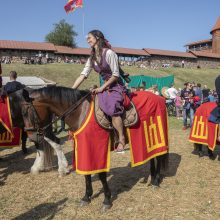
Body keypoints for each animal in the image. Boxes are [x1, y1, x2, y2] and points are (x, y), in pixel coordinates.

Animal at [21, 85, 168, 210]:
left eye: (26, 112)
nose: (32, 137)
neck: (81, 112)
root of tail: (160, 98)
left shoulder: (97, 147)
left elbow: (101, 175)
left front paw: (107, 200)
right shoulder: (84, 147)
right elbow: (87, 175)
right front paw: (87, 197)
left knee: (160, 156)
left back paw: (156, 181)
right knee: (152, 157)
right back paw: (153, 177)